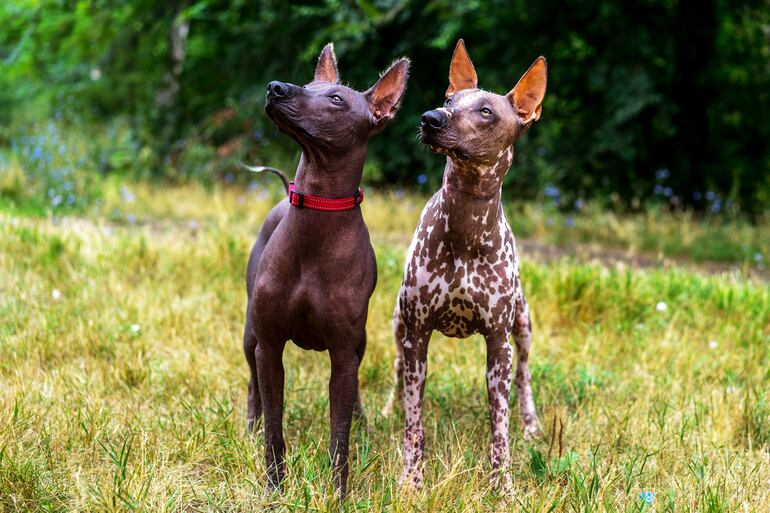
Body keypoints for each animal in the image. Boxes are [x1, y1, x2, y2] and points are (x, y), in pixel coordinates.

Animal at [246, 45, 408, 496]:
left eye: (336, 99)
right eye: (307, 84)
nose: (276, 87)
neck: (317, 211)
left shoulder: (343, 353)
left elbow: (340, 432)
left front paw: (338, 492)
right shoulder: (269, 346)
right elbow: (275, 427)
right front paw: (274, 485)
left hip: (360, 344)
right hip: (250, 336)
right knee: (252, 385)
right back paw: (249, 425)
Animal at [384, 39, 544, 488]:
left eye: (486, 111)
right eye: (449, 100)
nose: (430, 118)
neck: (466, 224)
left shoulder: (498, 346)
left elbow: (498, 427)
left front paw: (502, 485)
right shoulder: (417, 335)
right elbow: (415, 423)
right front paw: (412, 479)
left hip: (522, 325)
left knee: (524, 377)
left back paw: (531, 424)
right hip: (398, 323)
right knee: (397, 371)